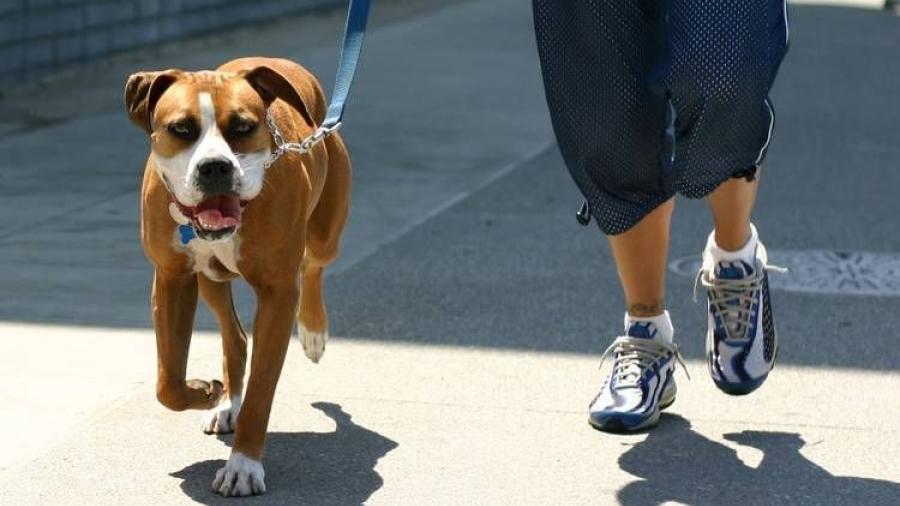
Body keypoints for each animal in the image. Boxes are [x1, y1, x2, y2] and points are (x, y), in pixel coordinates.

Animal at [125, 57, 350, 496]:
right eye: (182, 129)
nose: (215, 166)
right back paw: (227, 402)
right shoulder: (171, 279)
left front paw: (243, 465)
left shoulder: (278, 293)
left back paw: (314, 332)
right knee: (235, 337)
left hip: (324, 233)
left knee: (313, 265)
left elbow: (262, 388)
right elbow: (168, 382)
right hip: (209, 280)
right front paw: (203, 391)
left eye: (243, 127)